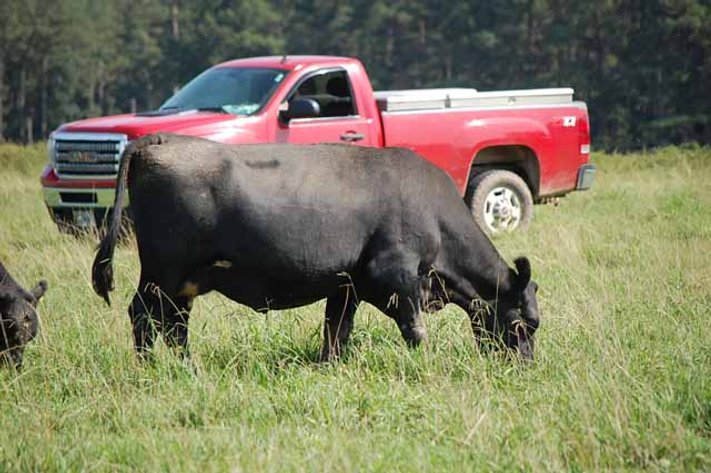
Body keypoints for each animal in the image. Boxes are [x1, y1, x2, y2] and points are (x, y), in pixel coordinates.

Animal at [93, 133, 540, 362]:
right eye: (525, 324)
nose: (524, 367)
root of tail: (158, 141)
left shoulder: (346, 286)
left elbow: (336, 332)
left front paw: (331, 367)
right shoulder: (395, 276)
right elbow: (415, 330)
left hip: (182, 281)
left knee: (174, 324)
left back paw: (186, 366)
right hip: (162, 272)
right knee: (143, 316)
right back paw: (150, 367)